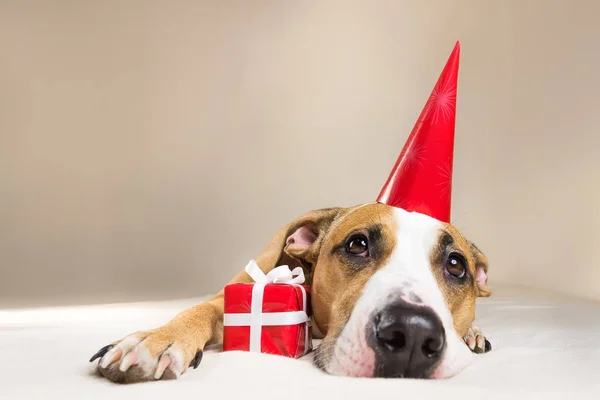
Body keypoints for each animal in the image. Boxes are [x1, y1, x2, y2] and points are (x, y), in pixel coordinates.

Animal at [88, 40, 492, 382]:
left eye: (456, 265)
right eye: (357, 244)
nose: (412, 332)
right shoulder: (228, 298)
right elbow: (201, 309)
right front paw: (157, 339)